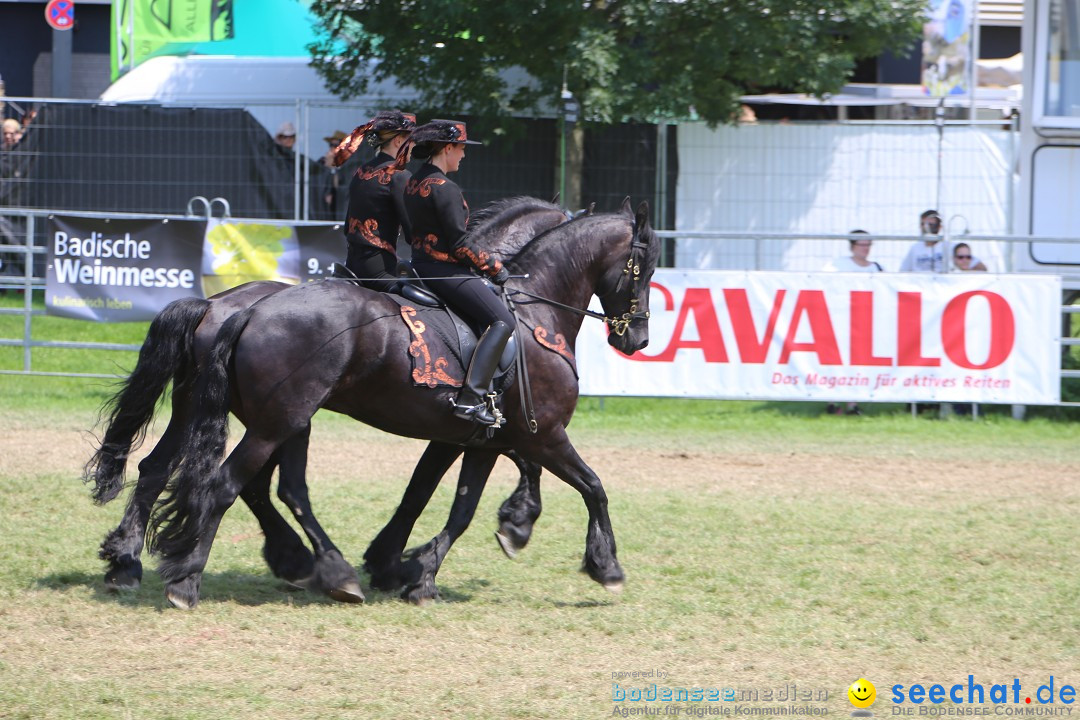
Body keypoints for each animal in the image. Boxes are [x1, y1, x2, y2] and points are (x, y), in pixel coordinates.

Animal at [151, 197, 656, 608]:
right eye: (645, 268)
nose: (637, 339)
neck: (536, 315)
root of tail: (250, 309)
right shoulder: (543, 435)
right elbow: (593, 486)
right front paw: (605, 565)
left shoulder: (477, 441)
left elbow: (440, 502)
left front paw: (409, 569)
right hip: (280, 422)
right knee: (229, 486)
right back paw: (191, 581)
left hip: (282, 422)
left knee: (264, 488)